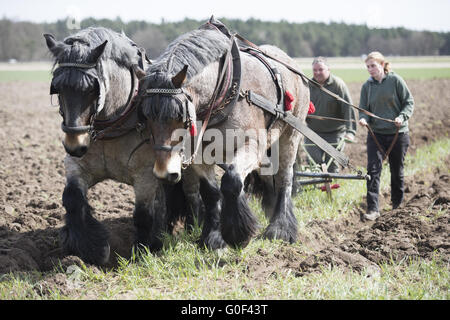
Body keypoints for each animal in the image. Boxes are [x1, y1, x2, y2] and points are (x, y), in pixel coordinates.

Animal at [43, 26, 203, 264]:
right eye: (58, 88)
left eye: (92, 89)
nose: (75, 145)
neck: (113, 121)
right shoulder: (76, 166)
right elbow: (72, 199)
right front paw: (91, 247)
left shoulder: (145, 176)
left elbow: (143, 216)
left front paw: (142, 251)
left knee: (192, 195)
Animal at [134, 18, 310, 250]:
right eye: (146, 115)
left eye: (179, 115)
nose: (164, 172)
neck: (222, 93)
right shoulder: (200, 154)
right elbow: (211, 192)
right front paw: (213, 237)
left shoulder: (253, 145)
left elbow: (232, 179)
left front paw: (236, 233)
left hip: (290, 136)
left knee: (284, 177)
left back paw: (280, 228)